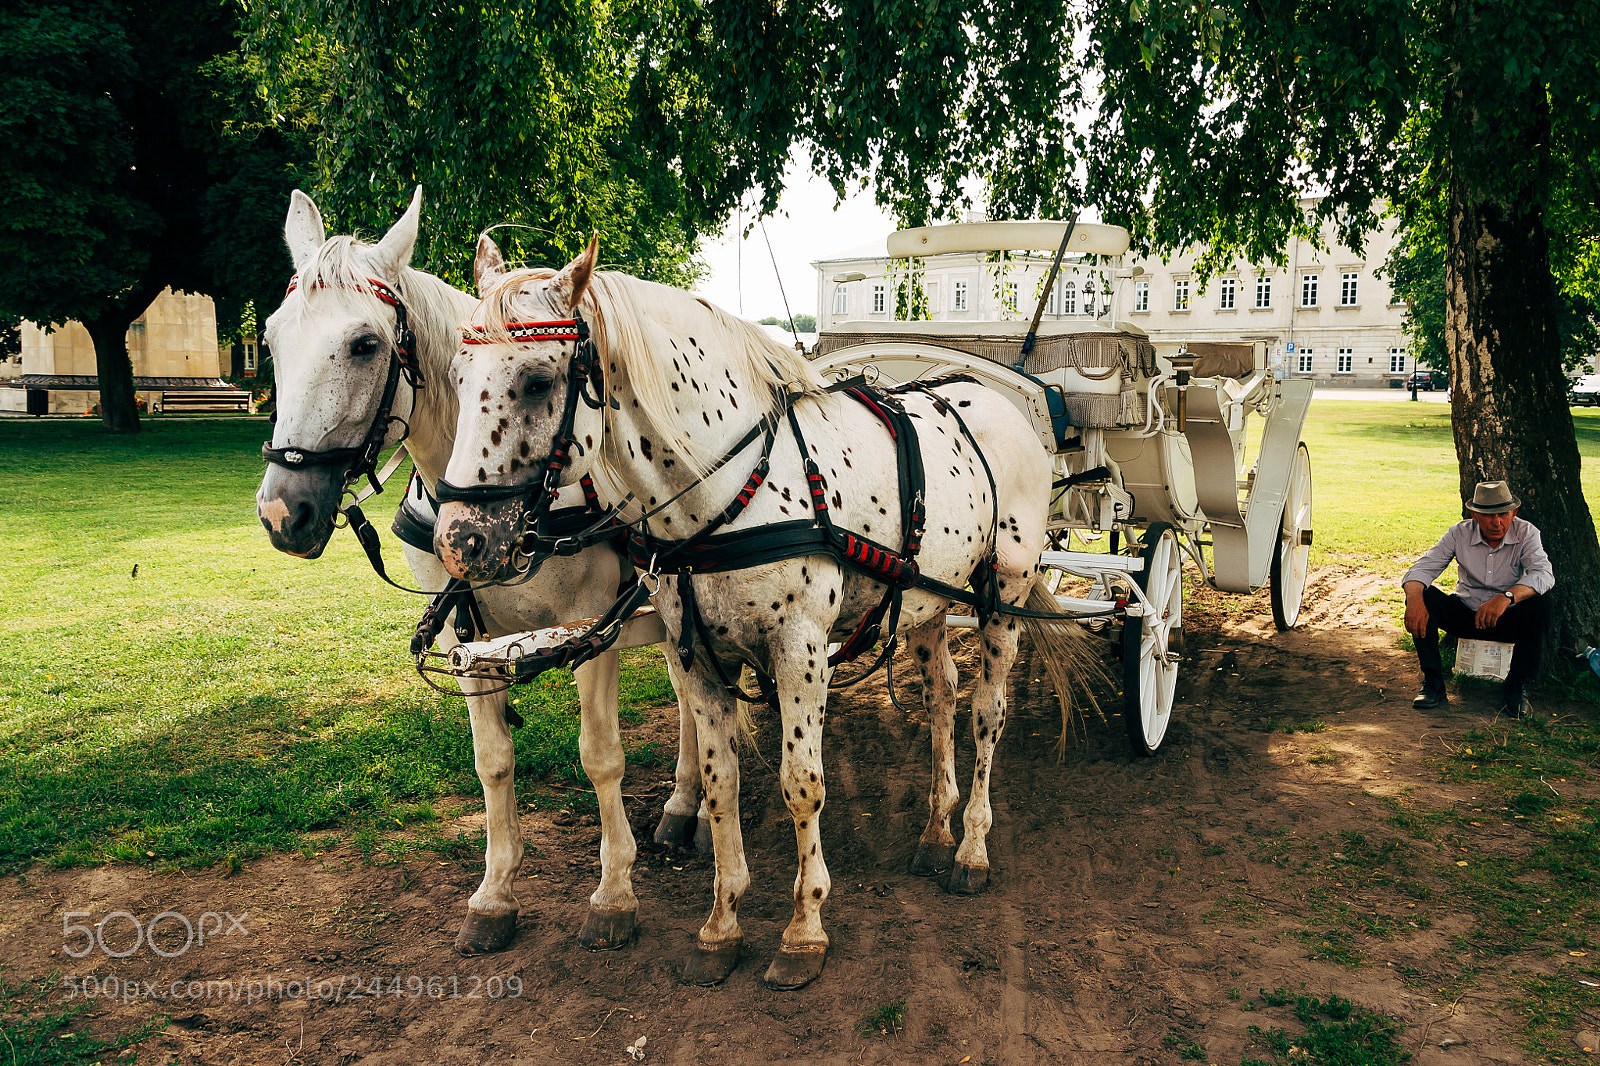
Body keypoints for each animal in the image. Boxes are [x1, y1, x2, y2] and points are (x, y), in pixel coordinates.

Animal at [254, 188, 708, 957]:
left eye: (365, 344)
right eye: (271, 338)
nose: (284, 511)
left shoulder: (592, 624)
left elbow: (600, 755)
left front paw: (614, 892)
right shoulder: (462, 637)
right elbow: (492, 759)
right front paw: (494, 892)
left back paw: (692, 807)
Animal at [432, 234, 1090, 989]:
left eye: (539, 380)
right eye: (455, 376)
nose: (458, 540)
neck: (725, 492)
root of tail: (987, 395)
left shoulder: (800, 651)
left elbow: (801, 784)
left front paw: (804, 929)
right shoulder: (696, 658)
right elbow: (721, 785)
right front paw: (721, 926)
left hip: (1001, 592)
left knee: (986, 712)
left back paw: (971, 848)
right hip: (926, 602)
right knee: (943, 699)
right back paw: (934, 829)